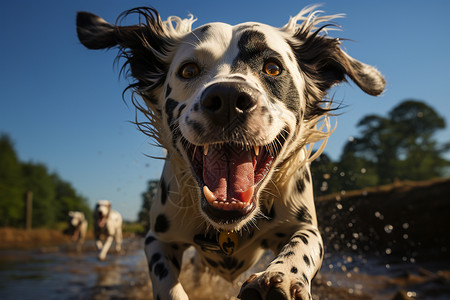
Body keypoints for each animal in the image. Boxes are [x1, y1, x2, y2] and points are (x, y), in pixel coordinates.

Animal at [76, 5, 384, 300]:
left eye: (273, 67)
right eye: (188, 70)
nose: (228, 98)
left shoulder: (304, 226)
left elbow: (302, 245)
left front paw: (281, 278)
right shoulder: (159, 239)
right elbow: (167, 285)